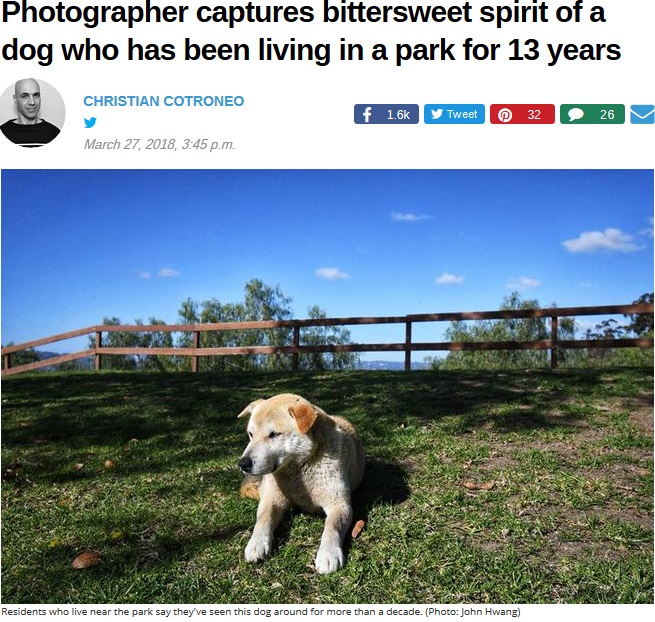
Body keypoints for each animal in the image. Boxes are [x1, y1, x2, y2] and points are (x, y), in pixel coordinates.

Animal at [238, 394, 366, 576]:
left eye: (274, 434)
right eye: (250, 434)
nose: (243, 464)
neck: (299, 472)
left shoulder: (340, 504)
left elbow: (332, 528)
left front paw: (328, 554)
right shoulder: (272, 500)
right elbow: (263, 520)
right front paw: (256, 544)